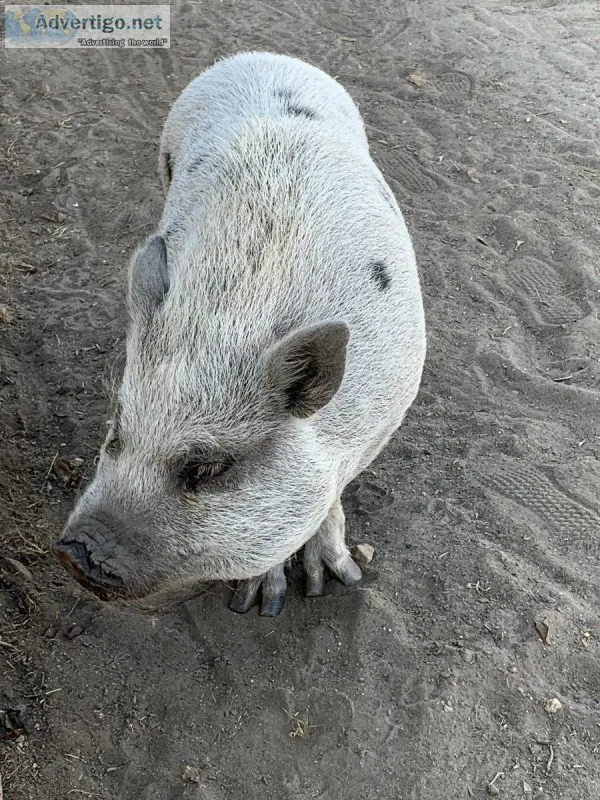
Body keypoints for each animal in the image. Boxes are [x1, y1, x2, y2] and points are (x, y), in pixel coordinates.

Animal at [53, 52, 426, 616]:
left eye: (208, 468)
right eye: (116, 432)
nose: (75, 553)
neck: (232, 314)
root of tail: (265, 57)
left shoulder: (385, 418)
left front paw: (329, 584)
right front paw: (263, 601)